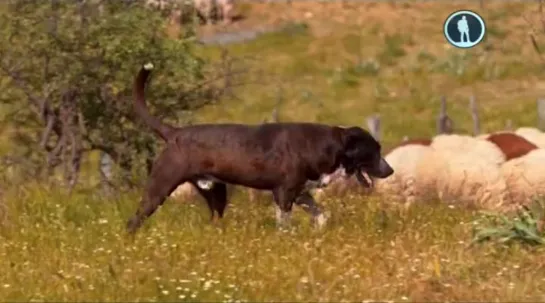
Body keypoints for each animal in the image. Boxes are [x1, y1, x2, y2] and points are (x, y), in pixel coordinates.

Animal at [126, 64, 394, 234]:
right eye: (373, 150)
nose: (390, 170)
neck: (329, 145)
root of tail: (175, 133)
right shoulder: (284, 193)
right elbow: (285, 226)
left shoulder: (301, 194)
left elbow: (321, 217)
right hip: (159, 188)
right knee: (133, 221)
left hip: (216, 193)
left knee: (215, 220)